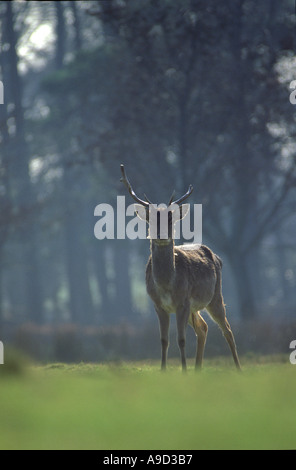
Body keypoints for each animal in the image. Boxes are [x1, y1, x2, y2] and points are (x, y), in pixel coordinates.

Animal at [119, 164, 240, 370]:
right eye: (151, 220)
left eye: (170, 220)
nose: (161, 235)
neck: (167, 285)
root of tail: (218, 257)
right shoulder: (159, 305)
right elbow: (164, 340)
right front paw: (164, 370)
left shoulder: (182, 302)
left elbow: (181, 340)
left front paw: (183, 371)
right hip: (195, 307)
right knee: (203, 328)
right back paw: (198, 369)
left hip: (215, 296)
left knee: (227, 329)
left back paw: (238, 368)